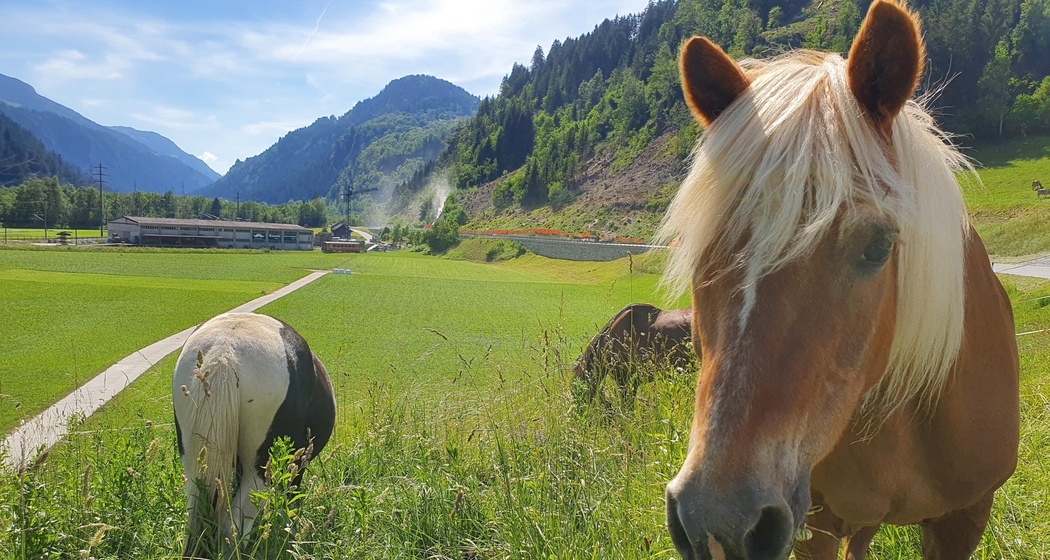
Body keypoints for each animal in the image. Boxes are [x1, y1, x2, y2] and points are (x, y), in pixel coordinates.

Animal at [172, 312, 336, 558]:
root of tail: (225, 353)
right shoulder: (298, 465)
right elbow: (293, 499)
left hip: (195, 465)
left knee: (198, 521)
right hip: (260, 470)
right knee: (233, 528)